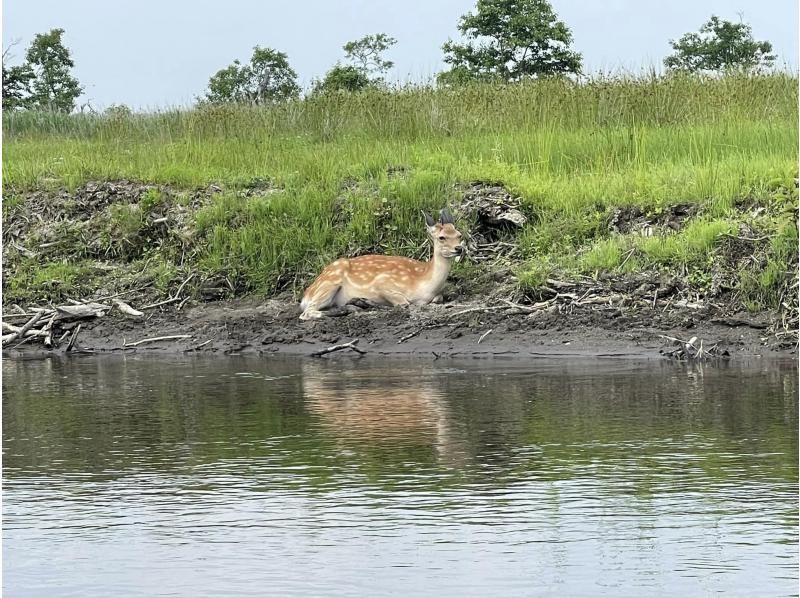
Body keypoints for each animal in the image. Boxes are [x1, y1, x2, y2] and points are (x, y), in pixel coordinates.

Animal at [298, 211, 462, 324]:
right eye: (441, 237)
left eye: (459, 235)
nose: (459, 248)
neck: (424, 283)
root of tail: (306, 293)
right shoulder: (383, 282)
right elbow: (403, 303)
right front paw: (366, 302)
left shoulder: (437, 294)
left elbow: (438, 298)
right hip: (330, 282)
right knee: (306, 312)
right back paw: (352, 307)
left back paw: (352, 307)